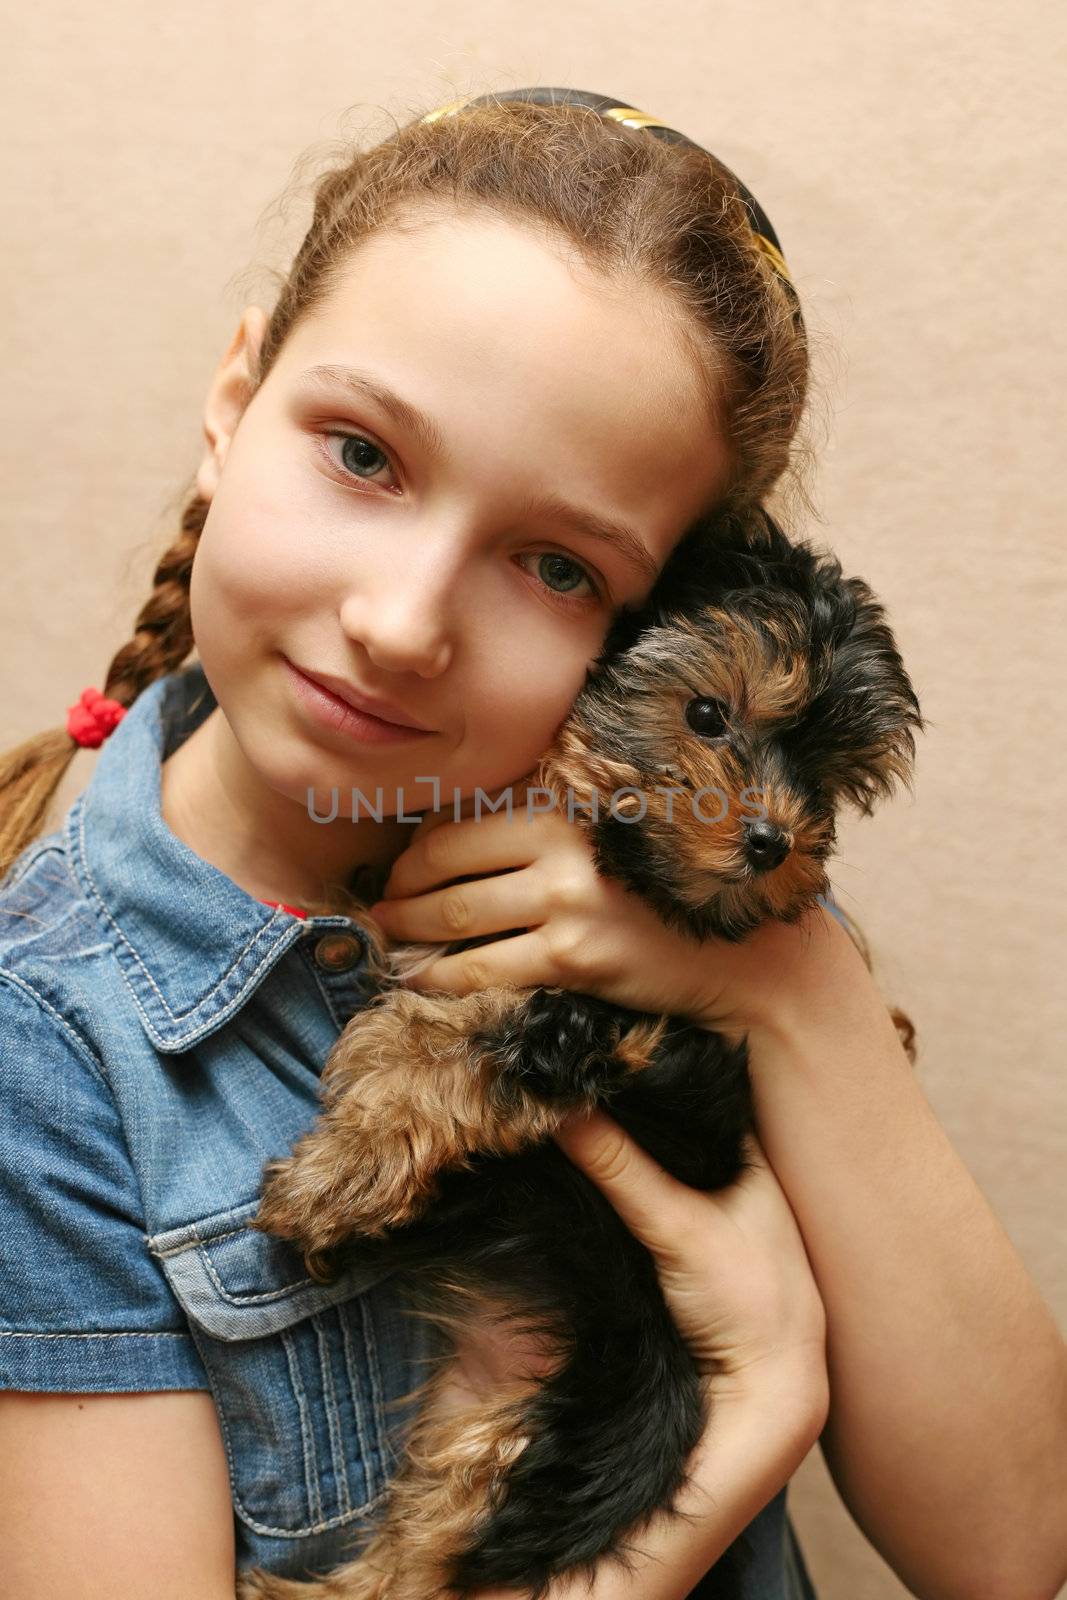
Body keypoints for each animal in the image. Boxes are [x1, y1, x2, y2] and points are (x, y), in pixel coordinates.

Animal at [238, 508, 921, 1600]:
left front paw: (336, 1172)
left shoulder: (662, 1067)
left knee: (431, 1560)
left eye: (824, 776)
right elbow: (420, 1016)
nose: (773, 843)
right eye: (704, 714)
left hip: (581, 1435)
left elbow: (474, 1043)